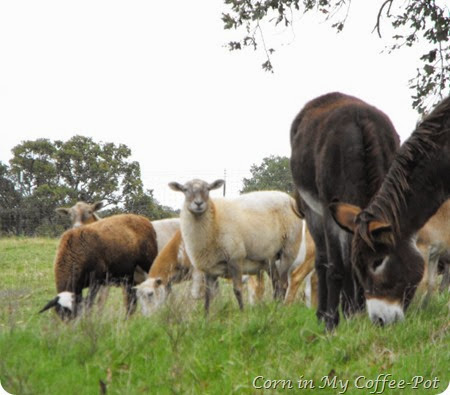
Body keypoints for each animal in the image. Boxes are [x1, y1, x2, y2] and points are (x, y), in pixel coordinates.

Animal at [171, 180, 304, 316]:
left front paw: (242, 313)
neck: (214, 220)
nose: (198, 203)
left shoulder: (235, 258)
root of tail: (289, 198)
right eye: (185, 189)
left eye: (208, 189)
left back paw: (281, 310)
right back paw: (275, 306)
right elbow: (208, 295)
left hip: (289, 250)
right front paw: (206, 316)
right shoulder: (209, 267)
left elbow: (237, 290)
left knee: (283, 284)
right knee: (276, 283)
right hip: (270, 259)